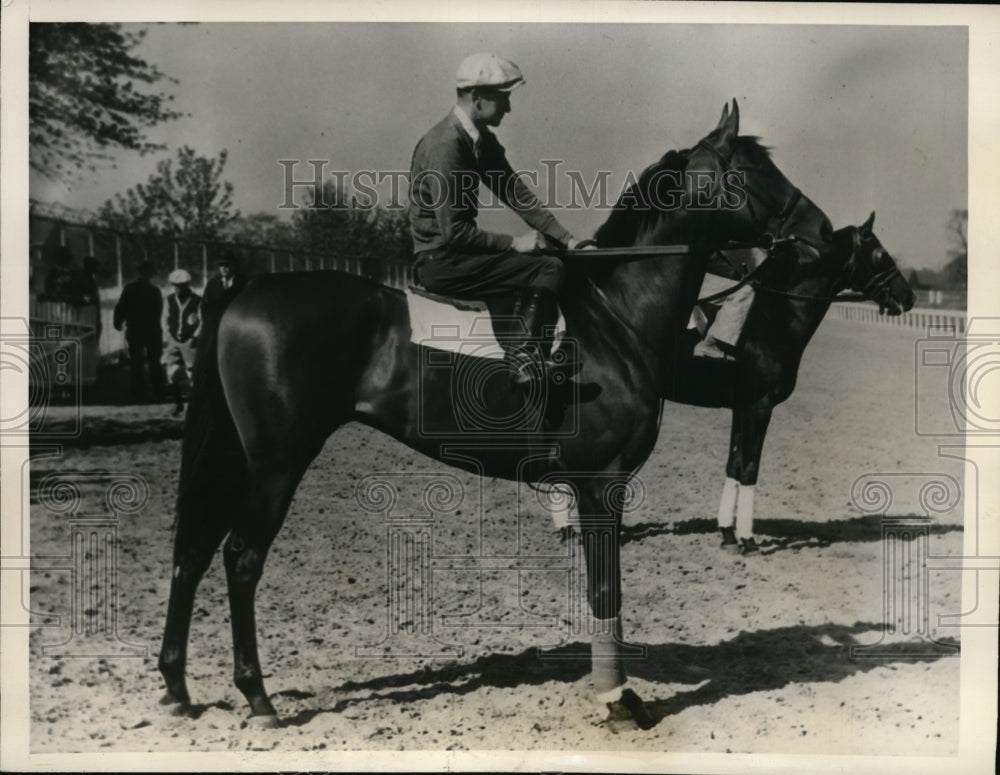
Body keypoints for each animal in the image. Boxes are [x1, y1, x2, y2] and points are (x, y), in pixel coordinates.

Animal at [160, 101, 836, 728]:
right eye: (752, 171)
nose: (822, 230)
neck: (612, 319)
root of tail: (246, 290)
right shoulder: (603, 483)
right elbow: (605, 589)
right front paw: (616, 696)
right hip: (276, 463)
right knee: (240, 557)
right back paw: (256, 694)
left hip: (238, 458)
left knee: (193, 551)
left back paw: (177, 687)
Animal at [656, 214, 916, 552]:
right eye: (881, 254)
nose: (909, 297)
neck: (772, 317)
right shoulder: (760, 405)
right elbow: (749, 468)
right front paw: (747, 538)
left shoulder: (741, 407)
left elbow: (734, 465)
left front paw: (727, 532)